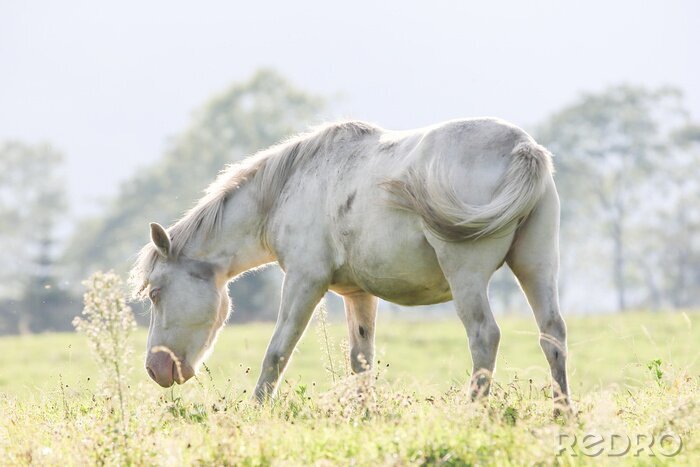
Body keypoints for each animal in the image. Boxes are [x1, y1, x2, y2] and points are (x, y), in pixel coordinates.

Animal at [131, 117, 568, 410]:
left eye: (155, 293)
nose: (153, 369)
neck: (287, 188)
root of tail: (522, 148)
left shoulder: (305, 281)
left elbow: (277, 351)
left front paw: (254, 411)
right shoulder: (358, 294)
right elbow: (361, 361)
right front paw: (363, 416)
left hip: (467, 277)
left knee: (484, 336)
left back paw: (473, 412)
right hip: (537, 267)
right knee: (553, 335)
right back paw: (562, 414)